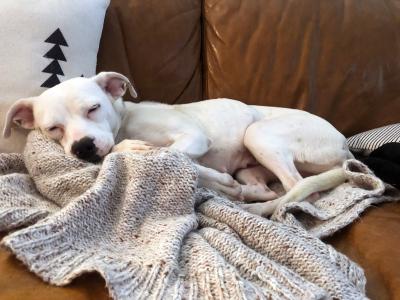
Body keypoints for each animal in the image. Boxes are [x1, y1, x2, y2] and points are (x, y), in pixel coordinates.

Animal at [3, 71, 354, 214]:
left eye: (93, 108)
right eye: (53, 129)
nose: (83, 147)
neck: (125, 121)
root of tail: (344, 146)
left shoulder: (193, 137)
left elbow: (170, 154)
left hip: (258, 134)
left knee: (300, 189)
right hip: (252, 167)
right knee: (272, 189)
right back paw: (243, 196)